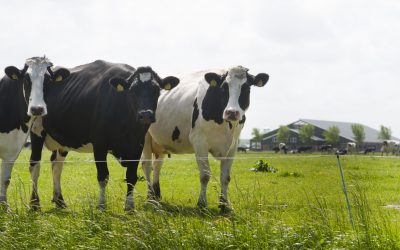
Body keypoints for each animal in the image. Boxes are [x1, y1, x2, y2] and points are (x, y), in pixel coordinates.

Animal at [0, 57, 69, 207]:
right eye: (26, 79)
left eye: (48, 80)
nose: (37, 109)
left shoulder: (11, 151)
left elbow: (5, 179)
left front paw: (4, 207)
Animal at [28, 60, 178, 211]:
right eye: (133, 91)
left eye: (156, 91)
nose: (146, 115)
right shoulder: (99, 144)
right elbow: (103, 176)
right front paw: (101, 205)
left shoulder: (137, 145)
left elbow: (131, 176)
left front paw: (129, 206)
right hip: (36, 130)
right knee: (35, 165)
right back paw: (34, 203)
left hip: (63, 141)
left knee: (57, 166)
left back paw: (60, 201)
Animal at [141, 65, 268, 212]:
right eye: (224, 88)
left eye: (247, 88)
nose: (232, 112)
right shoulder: (199, 141)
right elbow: (205, 175)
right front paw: (202, 203)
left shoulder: (233, 145)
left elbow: (225, 177)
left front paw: (225, 205)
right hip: (145, 138)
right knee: (146, 165)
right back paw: (150, 198)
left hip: (160, 141)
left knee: (157, 166)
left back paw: (157, 195)